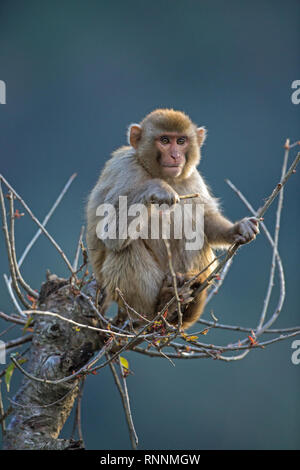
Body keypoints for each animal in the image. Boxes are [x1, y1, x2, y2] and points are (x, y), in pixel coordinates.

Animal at [85, 110, 258, 330]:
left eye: (181, 141)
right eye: (165, 140)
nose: (175, 155)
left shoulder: (193, 177)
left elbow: (205, 220)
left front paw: (238, 229)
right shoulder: (124, 170)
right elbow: (110, 231)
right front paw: (156, 189)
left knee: (194, 228)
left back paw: (185, 288)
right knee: (126, 248)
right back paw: (157, 306)